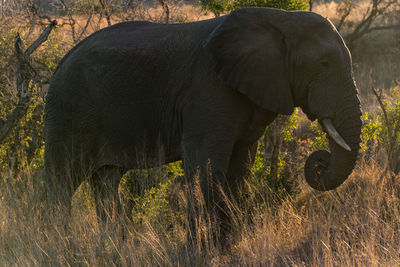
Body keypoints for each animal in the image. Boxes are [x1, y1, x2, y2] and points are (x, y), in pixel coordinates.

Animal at [43, 7, 362, 243]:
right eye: (323, 64)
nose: (320, 160)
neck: (281, 19)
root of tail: (60, 62)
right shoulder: (207, 89)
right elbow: (205, 165)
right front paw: (201, 249)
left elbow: (240, 168)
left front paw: (226, 246)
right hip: (68, 112)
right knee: (60, 184)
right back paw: (57, 244)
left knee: (106, 183)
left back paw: (116, 247)